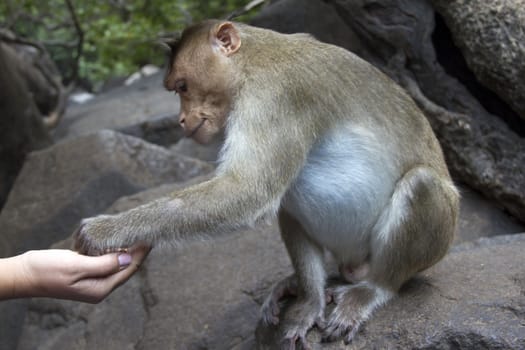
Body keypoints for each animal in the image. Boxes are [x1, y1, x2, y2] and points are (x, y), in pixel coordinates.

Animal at [74, 19, 458, 348]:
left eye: (183, 86)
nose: (181, 120)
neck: (251, 61)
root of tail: (354, 265)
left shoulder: (274, 95)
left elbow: (246, 189)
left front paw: (107, 230)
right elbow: (257, 192)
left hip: (426, 245)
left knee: (422, 186)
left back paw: (372, 290)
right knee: (289, 201)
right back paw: (309, 294)